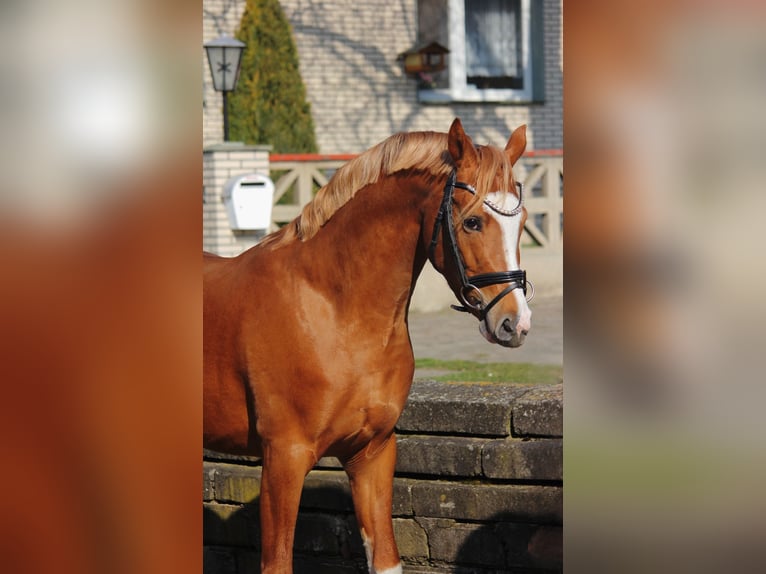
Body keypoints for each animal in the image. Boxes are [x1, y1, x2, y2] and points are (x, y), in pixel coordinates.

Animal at [204, 119, 536, 572]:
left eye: (522, 222)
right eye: (471, 222)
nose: (515, 323)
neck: (336, 311)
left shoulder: (372, 454)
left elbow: (385, 559)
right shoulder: (283, 459)